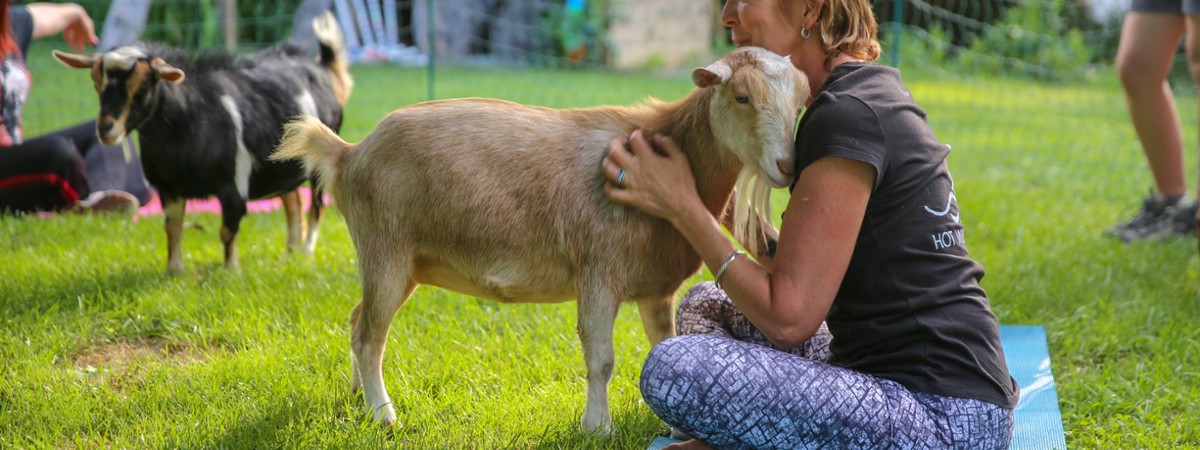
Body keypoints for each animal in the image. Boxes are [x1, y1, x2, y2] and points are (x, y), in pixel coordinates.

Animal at [52, 12, 353, 274]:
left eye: (143, 85)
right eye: (96, 83)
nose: (106, 129)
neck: (186, 124)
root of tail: (322, 67)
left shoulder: (233, 185)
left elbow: (227, 230)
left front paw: (231, 270)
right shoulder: (169, 188)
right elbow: (173, 228)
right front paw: (174, 271)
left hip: (320, 166)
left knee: (315, 206)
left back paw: (306, 250)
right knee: (292, 201)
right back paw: (290, 251)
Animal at [272, 46, 808, 434]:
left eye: (800, 104)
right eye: (742, 97)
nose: (787, 166)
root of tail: (348, 154)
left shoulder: (656, 288)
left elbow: (664, 347)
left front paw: (672, 428)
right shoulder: (599, 271)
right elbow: (602, 358)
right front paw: (598, 428)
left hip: (401, 262)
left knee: (358, 322)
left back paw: (358, 397)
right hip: (385, 248)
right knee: (369, 334)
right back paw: (384, 414)